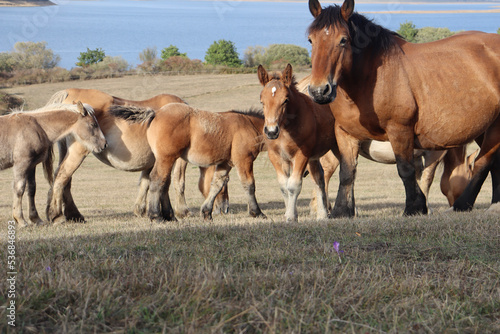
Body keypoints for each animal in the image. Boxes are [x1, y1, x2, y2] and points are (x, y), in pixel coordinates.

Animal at [44, 87, 186, 223]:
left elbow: (147, 182)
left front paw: (141, 210)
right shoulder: (172, 158)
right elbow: (172, 182)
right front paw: (175, 213)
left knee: (64, 180)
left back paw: (73, 215)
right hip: (77, 153)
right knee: (62, 176)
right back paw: (57, 216)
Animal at [108, 104, 268, 222]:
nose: (225, 209)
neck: (250, 124)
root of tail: (156, 113)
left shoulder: (225, 163)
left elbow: (216, 185)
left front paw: (206, 212)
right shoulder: (244, 160)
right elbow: (249, 185)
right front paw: (257, 212)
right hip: (166, 158)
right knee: (158, 180)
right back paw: (156, 216)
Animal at [258, 64, 336, 223]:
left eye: (285, 100)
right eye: (262, 101)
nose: (271, 131)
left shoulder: (301, 155)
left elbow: (293, 185)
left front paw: (291, 216)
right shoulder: (276, 157)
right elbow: (284, 186)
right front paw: (290, 213)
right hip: (314, 158)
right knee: (319, 178)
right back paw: (322, 214)